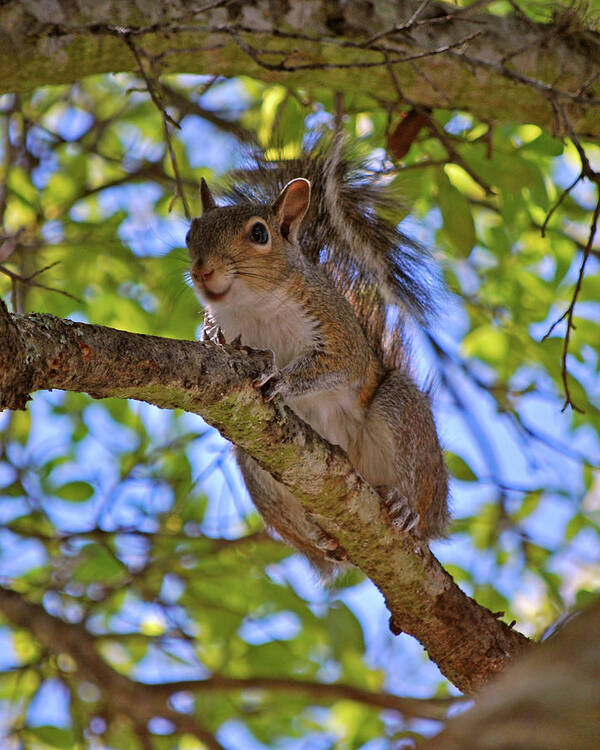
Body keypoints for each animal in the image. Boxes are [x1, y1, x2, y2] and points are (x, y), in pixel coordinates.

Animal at [185, 138, 448, 572]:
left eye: (259, 233)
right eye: (191, 233)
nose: (203, 271)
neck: (252, 306)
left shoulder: (337, 328)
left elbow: (340, 364)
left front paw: (283, 380)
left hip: (402, 415)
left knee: (417, 501)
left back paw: (405, 507)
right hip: (256, 465)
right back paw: (321, 539)